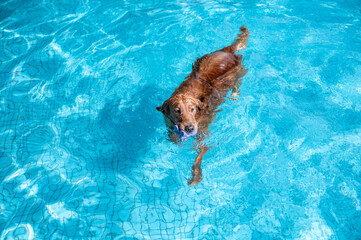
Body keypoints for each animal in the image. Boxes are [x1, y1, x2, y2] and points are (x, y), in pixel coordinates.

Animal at [156, 25, 249, 186]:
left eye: (192, 109)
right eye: (177, 110)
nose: (189, 128)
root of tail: (227, 50)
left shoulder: (203, 134)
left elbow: (198, 155)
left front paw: (196, 175)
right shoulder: (169, 124)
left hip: (235, 75)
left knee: (237, 83)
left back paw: (235, 94)